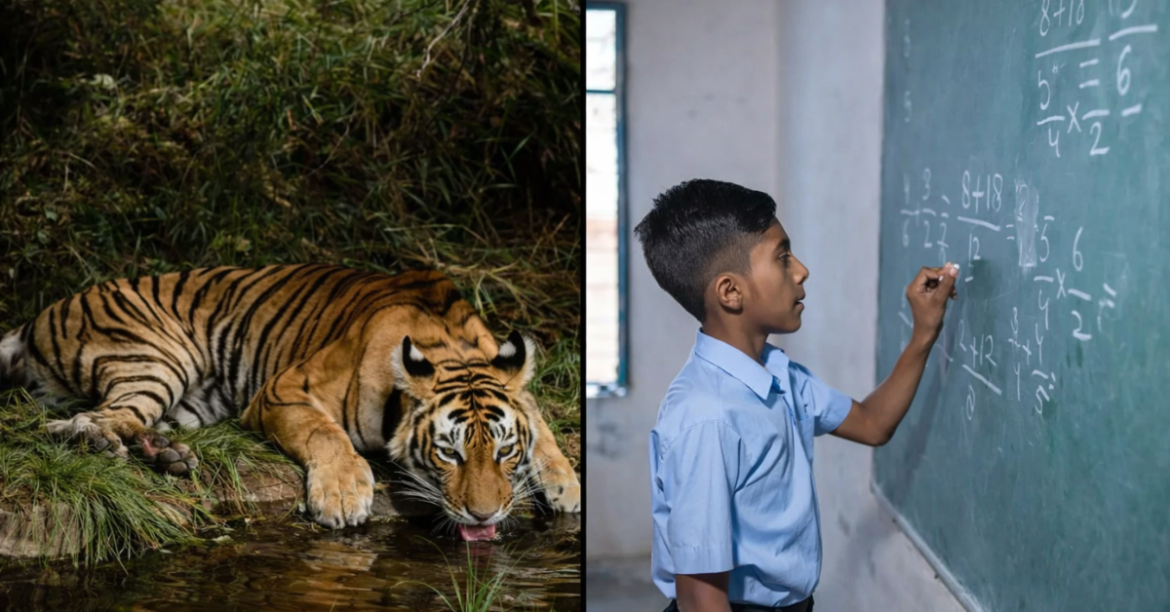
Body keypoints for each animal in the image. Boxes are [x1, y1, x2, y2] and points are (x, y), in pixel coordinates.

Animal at [0, 264, 580, 540]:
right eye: (449, 453)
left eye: (504, 451)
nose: (486, 516)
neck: (449, 347)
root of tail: (38, 316)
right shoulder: (283, 390)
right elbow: (327, 434)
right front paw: (342, 496)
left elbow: (541, 424)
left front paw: (565, 485)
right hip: (153, 355)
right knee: (80, 420)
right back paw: (103, 443)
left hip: (179, 397)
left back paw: (168, 456)